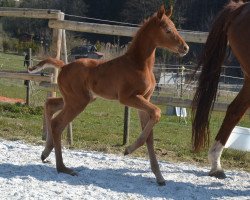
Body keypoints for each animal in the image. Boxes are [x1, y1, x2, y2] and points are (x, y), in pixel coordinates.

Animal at [28, 5, 188, 186]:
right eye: (168, 30)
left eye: (175, 27)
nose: (185, 48)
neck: (139, 64)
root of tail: (64, 66)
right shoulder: (128, 98)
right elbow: (157, 113)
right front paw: (128, 149)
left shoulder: (144, 100)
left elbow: (150, 136)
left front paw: (159, 177)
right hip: (78, 101)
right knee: (57, 123)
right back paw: (63, 168)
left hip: (78, 98)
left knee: (50, 104)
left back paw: (46, 152)